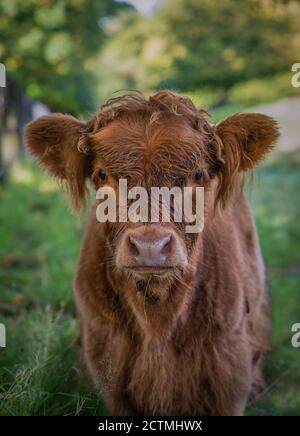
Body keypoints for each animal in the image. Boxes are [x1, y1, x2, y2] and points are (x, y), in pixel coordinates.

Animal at [25, 91, 278, 416]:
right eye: (102, 174)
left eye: (198, 173)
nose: (149, 245)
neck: (157, 320)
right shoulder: (106, 360)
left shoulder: (228, 365)